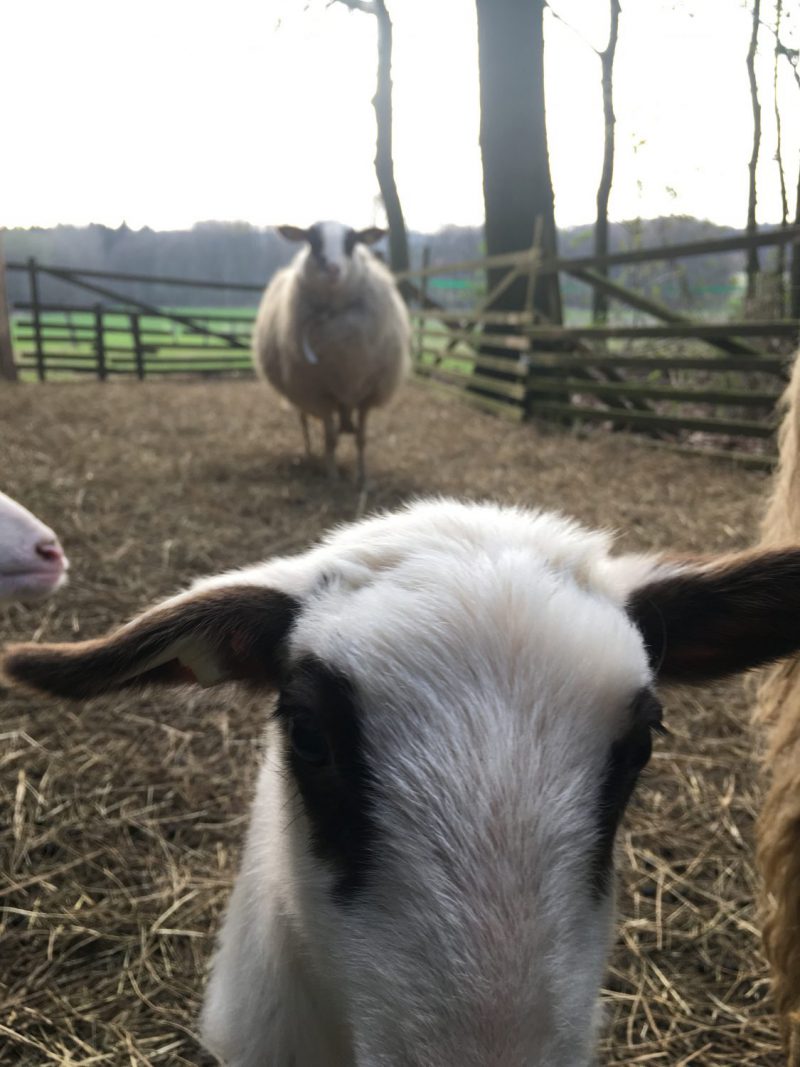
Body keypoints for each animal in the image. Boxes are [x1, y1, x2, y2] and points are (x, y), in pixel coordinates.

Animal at [253, 220, 409, 488]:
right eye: (312, 240)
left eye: (352, 242)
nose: (333, 268)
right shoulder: (320, 394)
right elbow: (330, 438)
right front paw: (333, 477)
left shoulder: (368, 394)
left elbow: (361, 439)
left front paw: (363, 478)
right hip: (300, 392)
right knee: (304, 422)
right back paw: (310, 457)